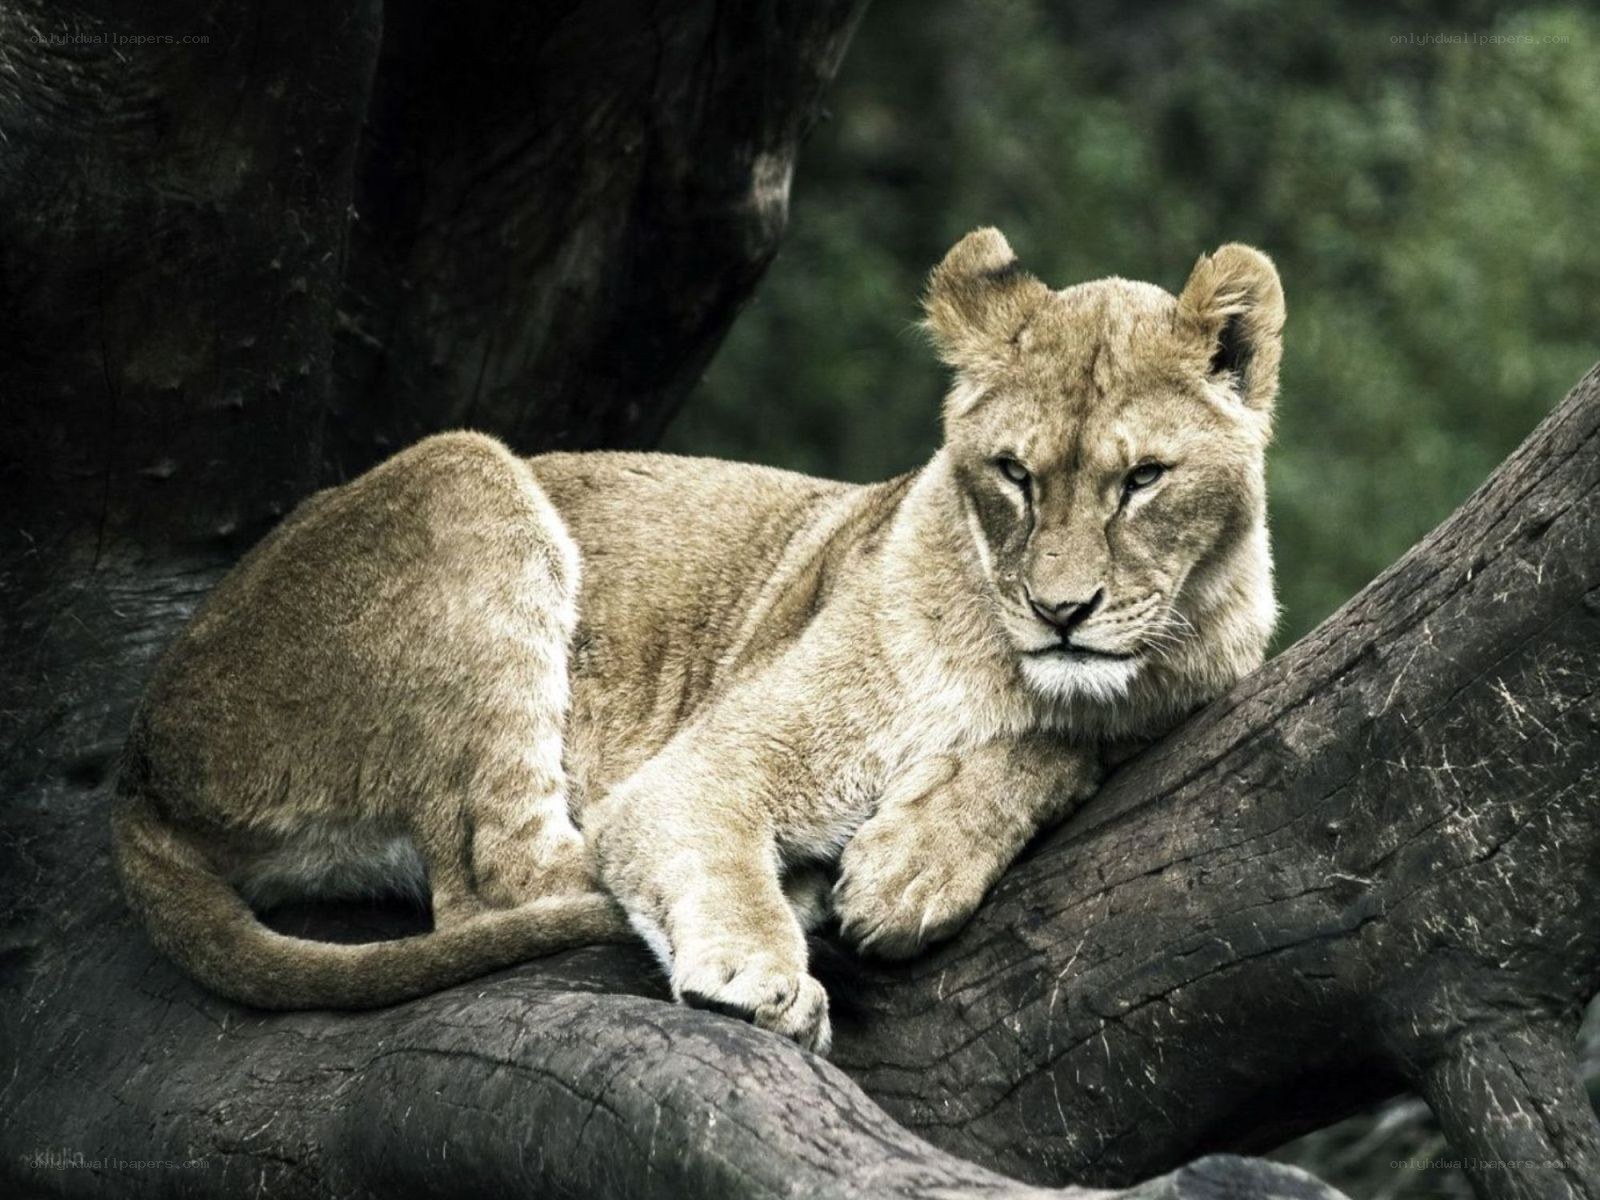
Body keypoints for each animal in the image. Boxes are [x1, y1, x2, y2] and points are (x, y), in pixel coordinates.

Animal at [113, 229, 1283, 1054]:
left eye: (1144, 480)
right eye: (1013, 474)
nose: (1060, 611)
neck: (1018, 670)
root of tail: (140, 763)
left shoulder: (1191, 685)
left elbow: (1059, 747)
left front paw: (913, 863)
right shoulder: (707, 766)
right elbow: (696, 838)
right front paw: (770, 969)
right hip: (467, 472)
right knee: (500, 877)